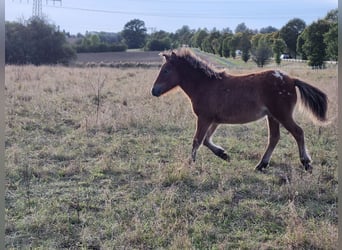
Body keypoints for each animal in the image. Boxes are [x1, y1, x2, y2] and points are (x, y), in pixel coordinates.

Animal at [151, 48, 328, 172]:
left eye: (166, 70)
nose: (154, 91)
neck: (206, 85)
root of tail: (291, 80)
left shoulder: (204, 118)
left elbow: (197, 140)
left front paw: (189, 164)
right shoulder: (214, 120)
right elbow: (206, 140)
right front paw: (223, 154)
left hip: (282, 115)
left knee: (298, 132)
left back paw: (306, 163)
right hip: (272, 116)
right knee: (274, 138)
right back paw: (261, 165)